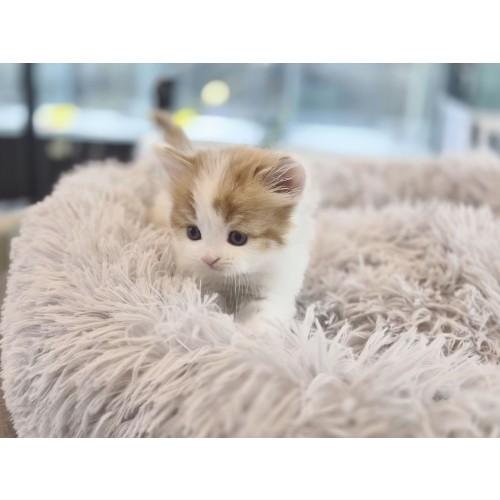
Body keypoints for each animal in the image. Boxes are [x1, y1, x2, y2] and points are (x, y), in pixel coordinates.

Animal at [150, 111, 316, 331]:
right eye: (193, 232)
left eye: (238, 237)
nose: (209, 259)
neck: (235, 278)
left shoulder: (280, 277)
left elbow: (266, 314)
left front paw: (248, 335)